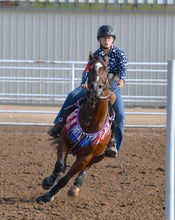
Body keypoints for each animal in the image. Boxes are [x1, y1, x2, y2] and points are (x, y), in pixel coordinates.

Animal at [35, 52, 115, 204]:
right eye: (90, 68)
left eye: (107, 69)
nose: (96, 87)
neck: (90, 123)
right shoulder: (64, 140)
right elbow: (60, 166)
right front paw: (48, 182)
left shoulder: (85, 157)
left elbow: (66, 178)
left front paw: (47, 196)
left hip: (98, 156)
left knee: (85, 169)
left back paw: (75, 187)